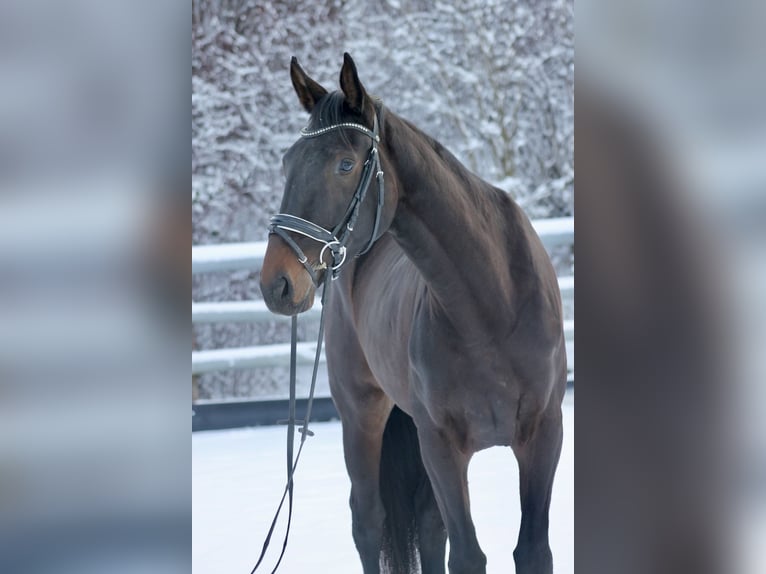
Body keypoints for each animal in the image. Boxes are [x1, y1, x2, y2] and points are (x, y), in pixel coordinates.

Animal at [260, 53, 566, 574]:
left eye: (345, 164)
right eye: (286, 163)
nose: (276, 283)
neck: (490, 306)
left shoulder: (544, 435)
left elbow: (531, 551)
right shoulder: (440, 445)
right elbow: (467, 556)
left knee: (425, 523)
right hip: (361, 415)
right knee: (367, 521)